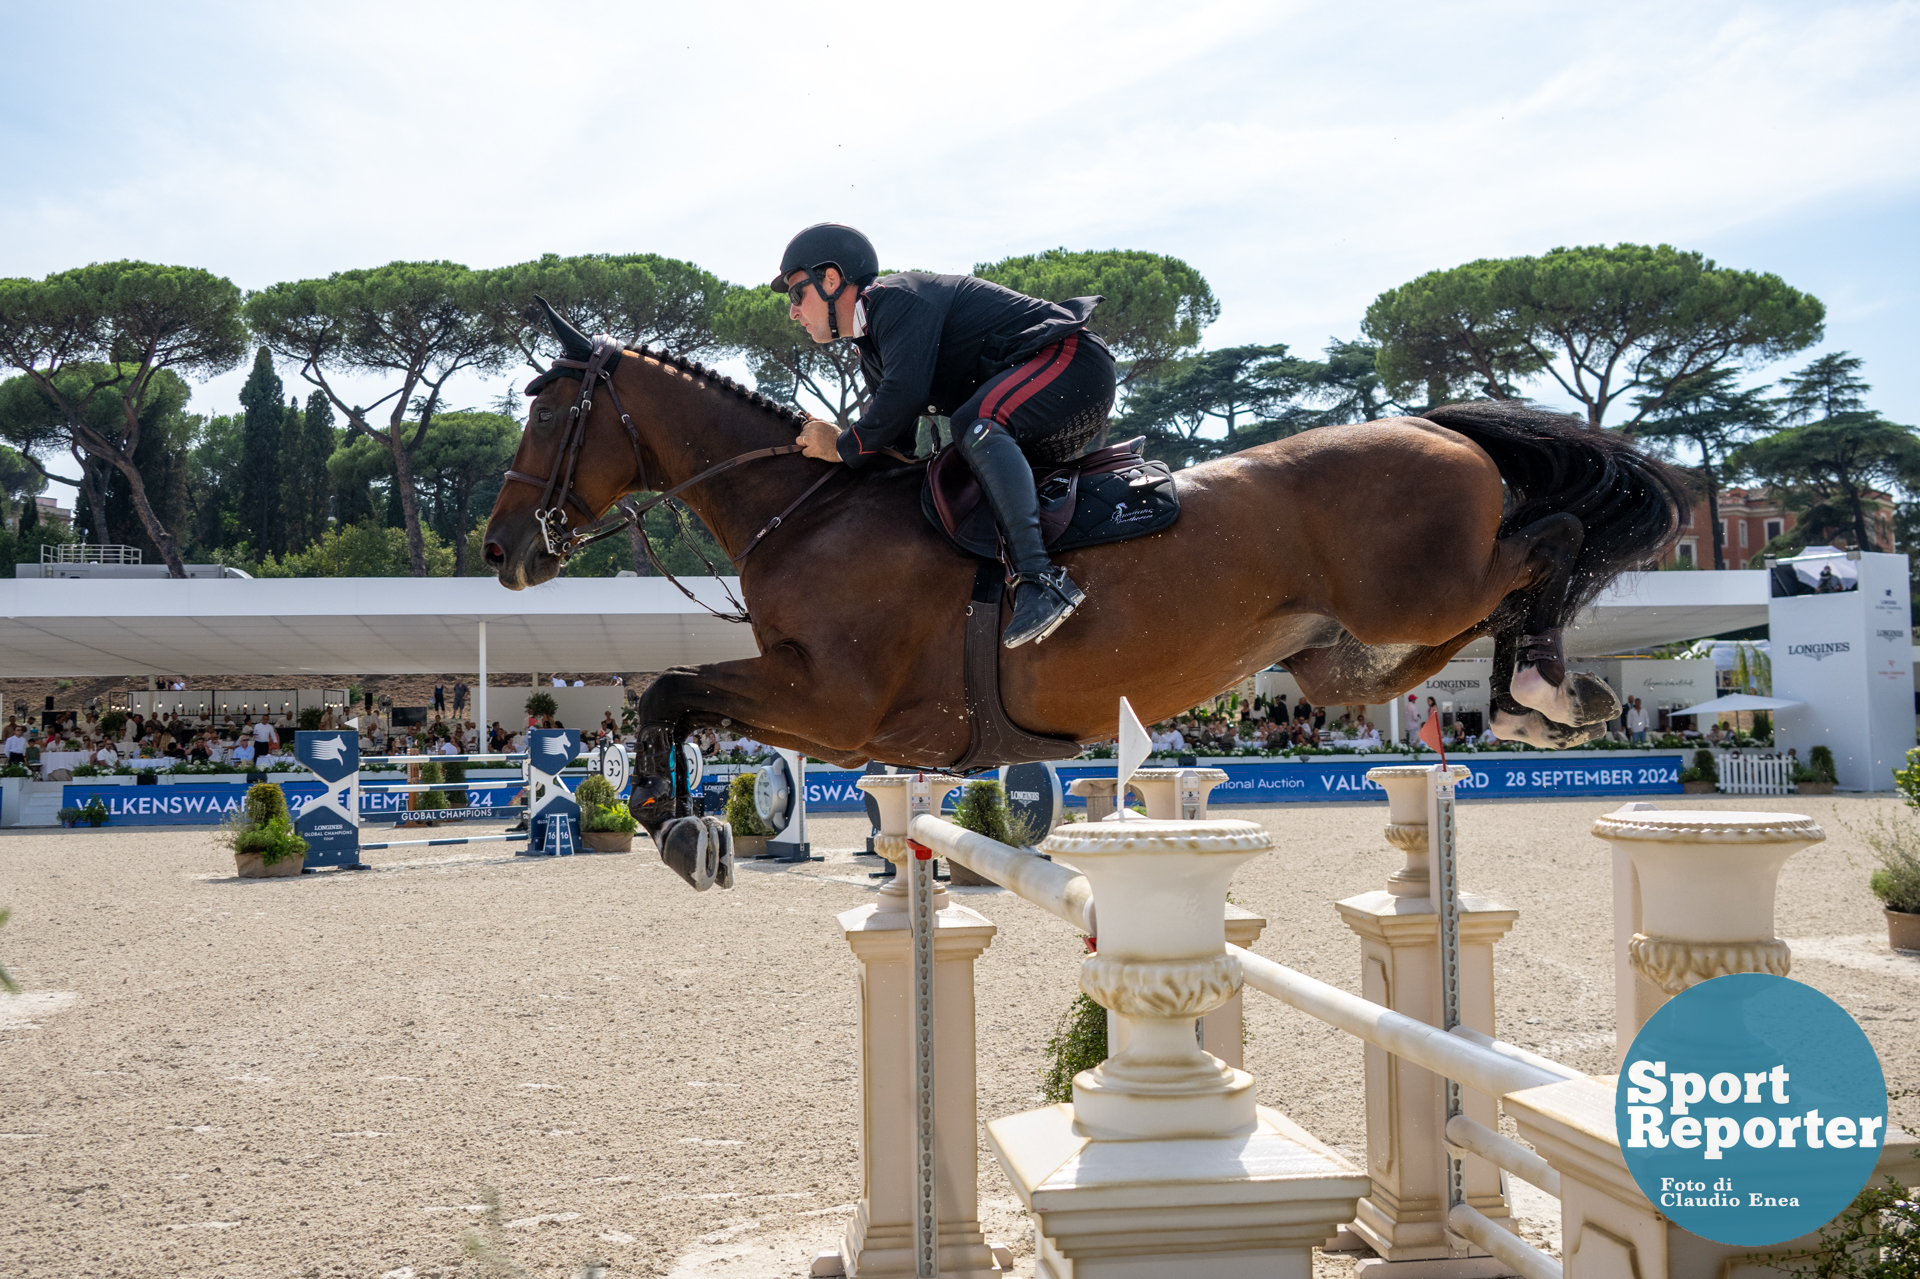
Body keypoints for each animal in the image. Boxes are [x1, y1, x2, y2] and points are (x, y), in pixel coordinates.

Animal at [480, 309, 1681, 887]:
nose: (500, 548)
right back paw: (1538, 699)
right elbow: (680, 697)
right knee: (1472, 619)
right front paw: (685, 822)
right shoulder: (831, 716)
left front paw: (669, 819)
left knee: (1549, 542)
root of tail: (1440, 427)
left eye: (546, 415)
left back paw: (1550, 690)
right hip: (1345, 648)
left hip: (1416, 589)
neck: (806, 506)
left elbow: (668, 687)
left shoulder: (840, 702)